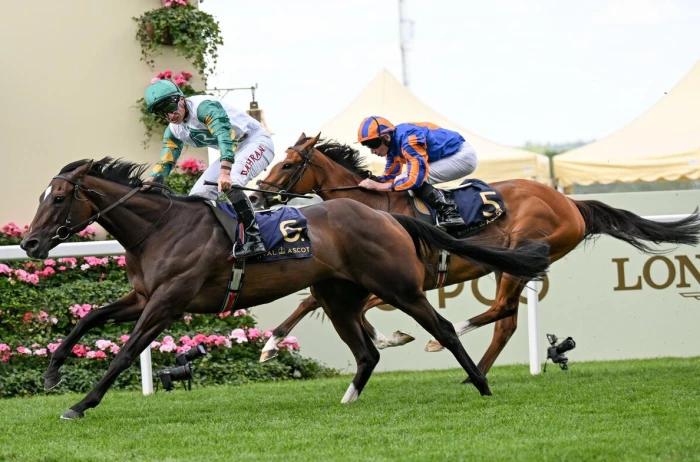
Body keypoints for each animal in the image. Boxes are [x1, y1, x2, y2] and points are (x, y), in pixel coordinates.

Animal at [17, 154, 552, 418]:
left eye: (59, 197)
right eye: (41, 196)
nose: (29, 243)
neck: (160, 228)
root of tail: (388, 217)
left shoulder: (168, 302)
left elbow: (126, 352)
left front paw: (80, 405)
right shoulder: (143, 297)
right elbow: (90, 318)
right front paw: (53, 373)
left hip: (399, 287)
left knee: (442, 327)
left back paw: (481, 384)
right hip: (338, 297)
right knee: (367, 353)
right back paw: (348, 399)